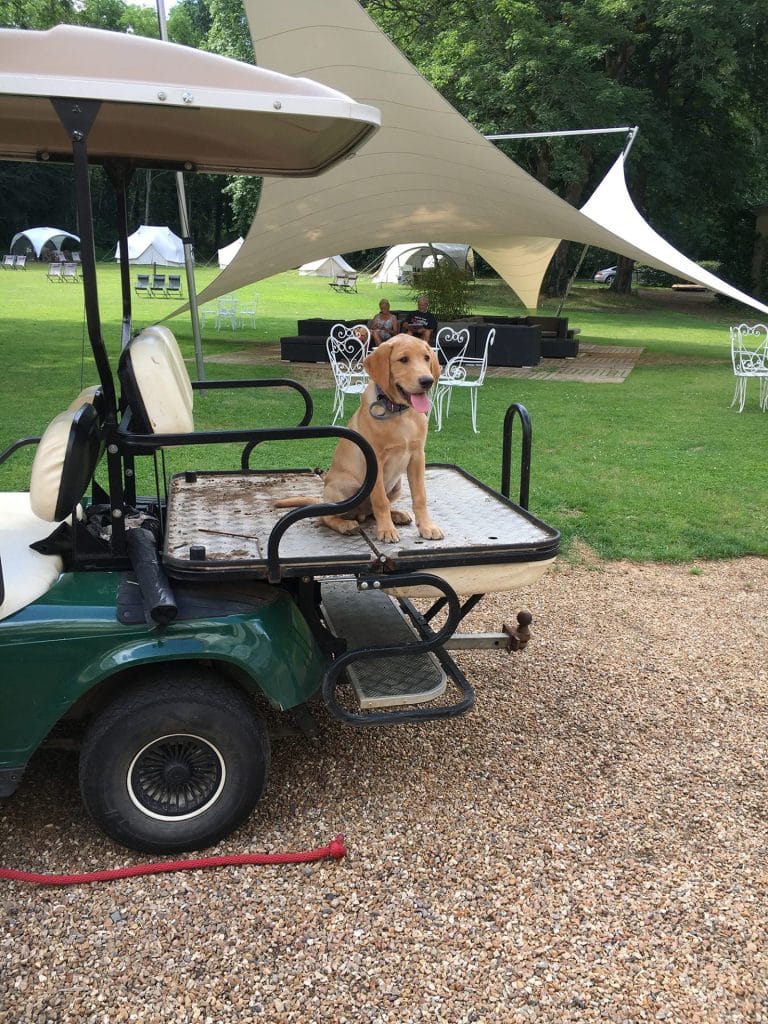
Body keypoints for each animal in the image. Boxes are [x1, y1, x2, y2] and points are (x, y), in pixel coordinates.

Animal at [276, 335, 444, 544]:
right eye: (403, 359)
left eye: (427, 358)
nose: (427, 381)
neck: (398, 412)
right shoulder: (376, 460)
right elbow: (380, 500)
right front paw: (386, 530)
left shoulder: (417, 456)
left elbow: (420, 496)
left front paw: (427, 527)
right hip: (344, 488)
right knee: (326, 516)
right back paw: (346, 525)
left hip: (396, 486)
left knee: (374, 511)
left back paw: (397, 514)